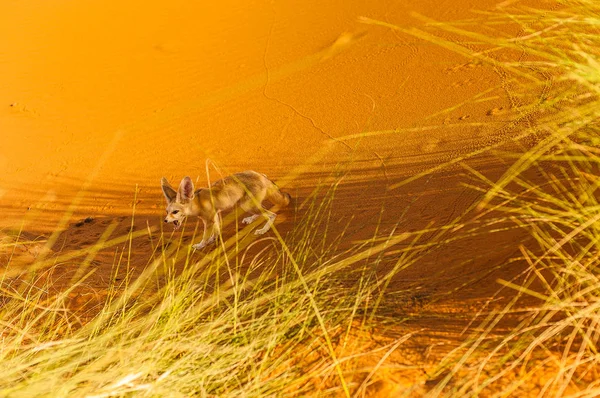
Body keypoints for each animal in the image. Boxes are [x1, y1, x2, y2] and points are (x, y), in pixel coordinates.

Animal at [159, 170, 290, 249]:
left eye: (175, 212)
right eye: (167, 212)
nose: (165, 221)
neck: (199, 202)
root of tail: (261, 175)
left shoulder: (208, 221)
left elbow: (205, 236)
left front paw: (201, 245)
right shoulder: (215, 215)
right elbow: (216, 230)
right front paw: (214, 239)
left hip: (247, 205)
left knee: (272, 214)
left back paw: (263, 230)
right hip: (247, 204)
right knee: (263, 210)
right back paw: (250, 219)